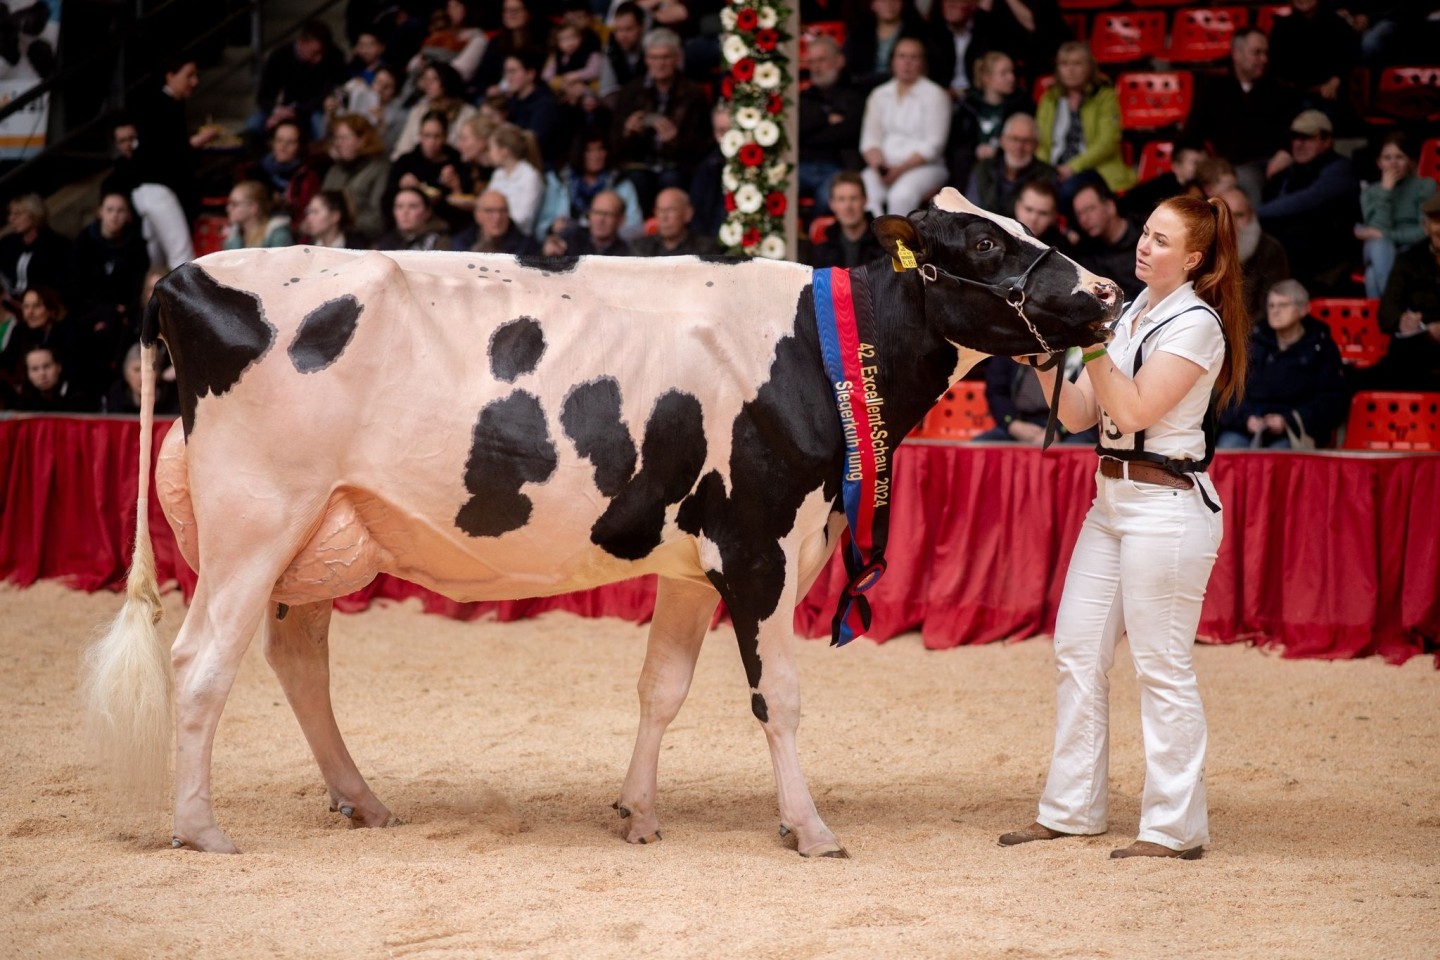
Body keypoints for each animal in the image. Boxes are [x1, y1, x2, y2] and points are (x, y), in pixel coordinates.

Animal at [87, 187, 1123, 857]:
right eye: (982, 247)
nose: (1108, 293)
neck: (821, 347)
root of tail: (182, 275)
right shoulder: (759, 548)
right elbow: (778, 698)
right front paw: (811, 828)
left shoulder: (691, 561)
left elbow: (660, 688)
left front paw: (638, 813)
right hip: (254, 519)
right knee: (201, 662)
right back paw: (200, 828)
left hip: (322, 532)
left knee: (298, 659)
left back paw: (363, 801)